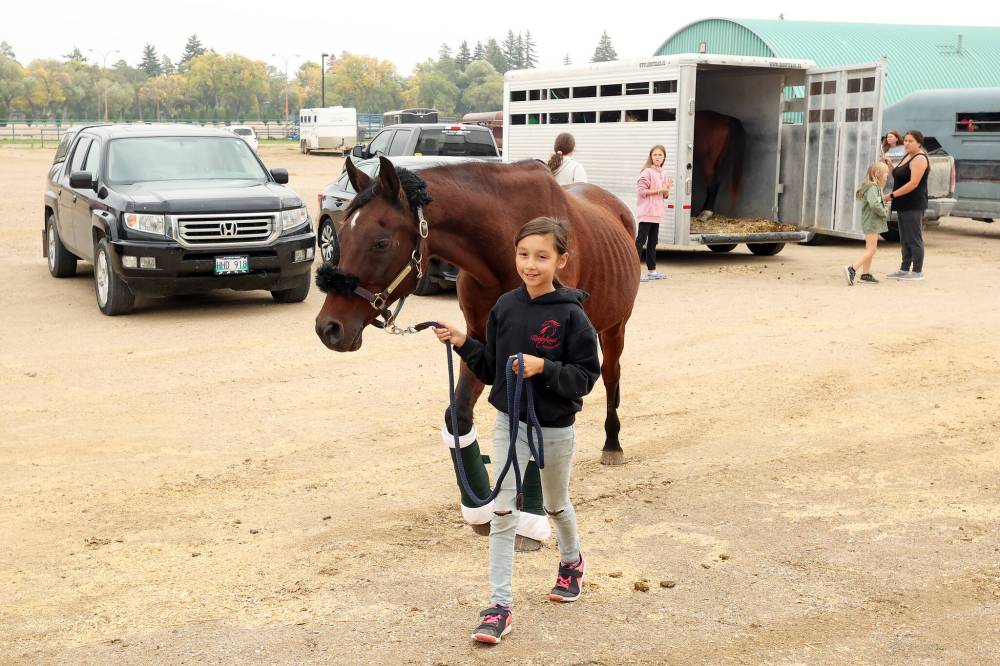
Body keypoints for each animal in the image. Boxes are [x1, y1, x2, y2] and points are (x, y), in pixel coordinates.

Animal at [314, 155, 639, 545]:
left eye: (380, 242)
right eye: (342, 236)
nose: (328, 328)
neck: (505, 250)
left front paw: (530, 520)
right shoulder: (481, 343)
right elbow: (459, 415)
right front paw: (479, 507)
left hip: (615, 328)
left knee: (610, 378)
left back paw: (612, 443)